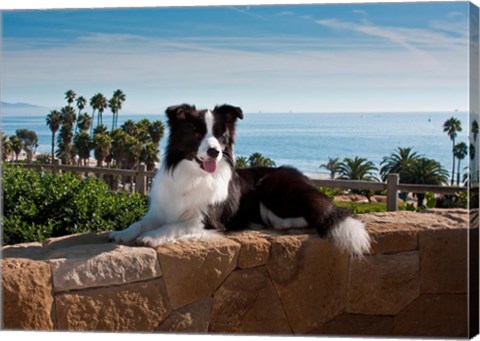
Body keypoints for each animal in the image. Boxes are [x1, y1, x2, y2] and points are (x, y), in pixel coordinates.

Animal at [109, 103, 372, 255]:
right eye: (197, 132)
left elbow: (174, 225)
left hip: (272, 187)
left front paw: (153, 237)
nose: (214, 151)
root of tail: (305, 179)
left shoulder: (206, 219)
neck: (193, 175)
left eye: (220, 135)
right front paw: (123, 232)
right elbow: (140, 222)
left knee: (312, 216)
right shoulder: (160, 210)